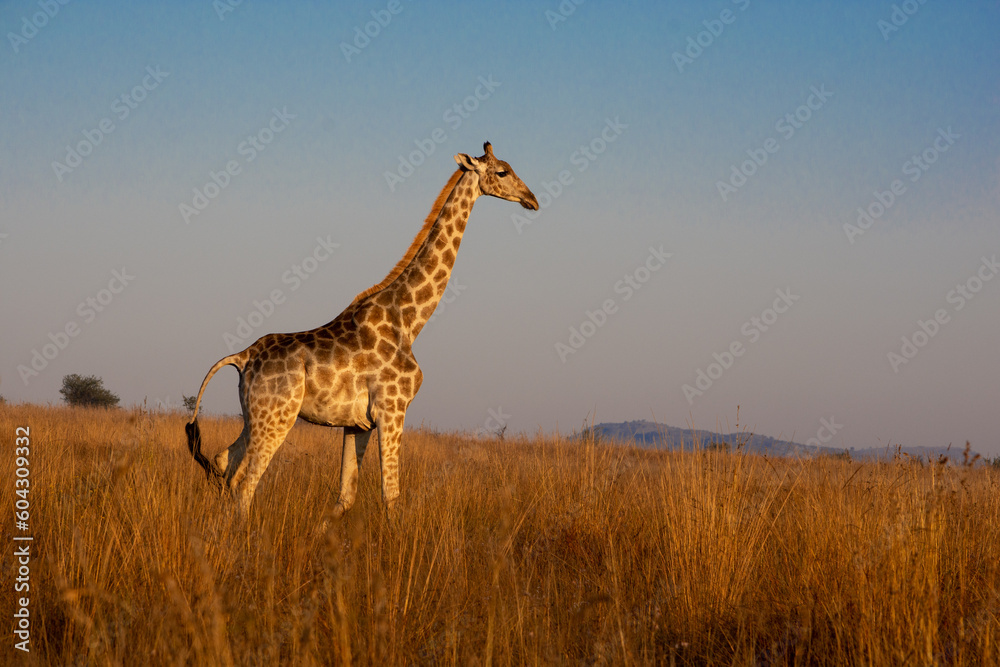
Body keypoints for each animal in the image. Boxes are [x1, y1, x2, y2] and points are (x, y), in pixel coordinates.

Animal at [186, 142, 538, 517]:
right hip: (276, 416)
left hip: (252, 416)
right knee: (243, 483)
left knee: (223, 463)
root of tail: (243, 357)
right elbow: (391, 497)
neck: (409, 320)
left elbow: (345, 496)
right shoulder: (392, 409)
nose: (532, 199)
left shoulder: (357, 423)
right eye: (502, 171)